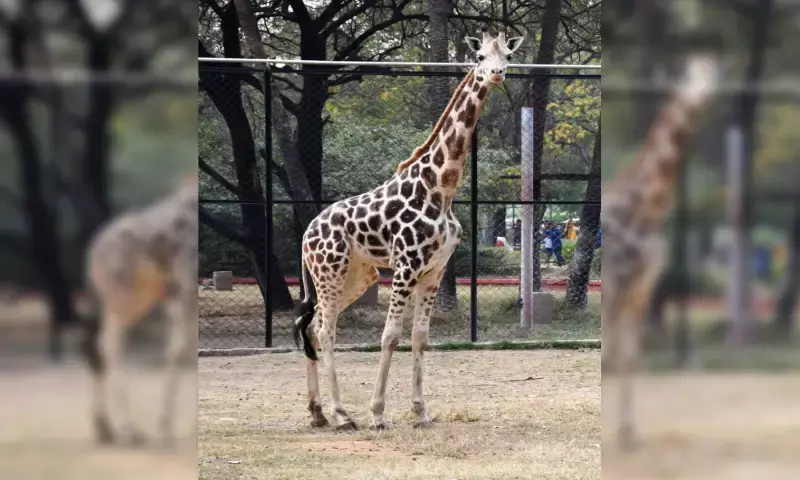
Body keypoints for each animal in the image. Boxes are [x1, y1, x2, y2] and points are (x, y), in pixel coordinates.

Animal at [81, 173, 198, 445]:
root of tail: (93, 253)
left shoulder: (176, 291)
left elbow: (179, 348)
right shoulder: (185, 283)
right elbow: (182, 349)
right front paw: (168, 429)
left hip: (135, 296)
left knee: (95, 345)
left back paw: (105, 429)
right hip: (124, 295)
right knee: (109, 345)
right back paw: (129, 430)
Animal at [292, 30, 524, 430]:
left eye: (507, 55)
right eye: (479, 55)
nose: (496, 74)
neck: (440, 190)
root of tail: (308, 233)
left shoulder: (434, 271)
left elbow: (420, 337)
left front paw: (421, 412)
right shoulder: (405, 267)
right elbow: (389, 336)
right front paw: (377, 413)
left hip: (357, 276)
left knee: (312, 326)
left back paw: (318, 412)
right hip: (329, 272)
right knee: (324, 329)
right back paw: (342, 414)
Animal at [602, 55, 719, 450]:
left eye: (714, 73)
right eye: (686, 74)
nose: (701, 94)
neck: (647, 212)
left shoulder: (641, 288)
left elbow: (629, 355)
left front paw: (629, 434)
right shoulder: (618, 281)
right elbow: (611, 352)